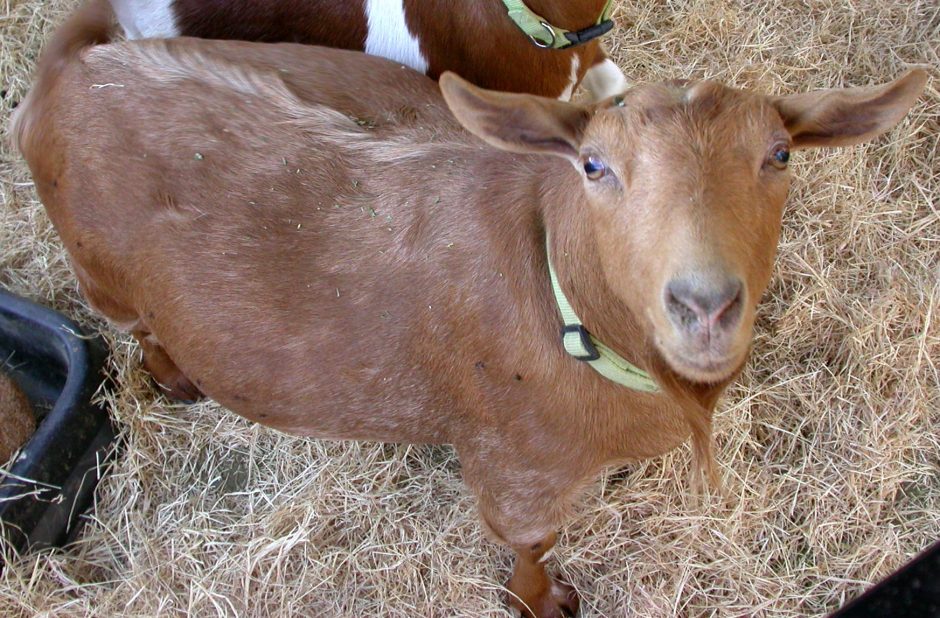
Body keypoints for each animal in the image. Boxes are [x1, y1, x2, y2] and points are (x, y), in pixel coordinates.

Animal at [13, 2, 925, 615]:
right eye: (593, 166)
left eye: (780, 155)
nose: (704, 304)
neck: (563, 291)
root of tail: (68, 68)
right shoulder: (515, 467)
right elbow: (529, 542)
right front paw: (541, 601)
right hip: (102, 279)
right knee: (139, 329)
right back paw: (174, 379)